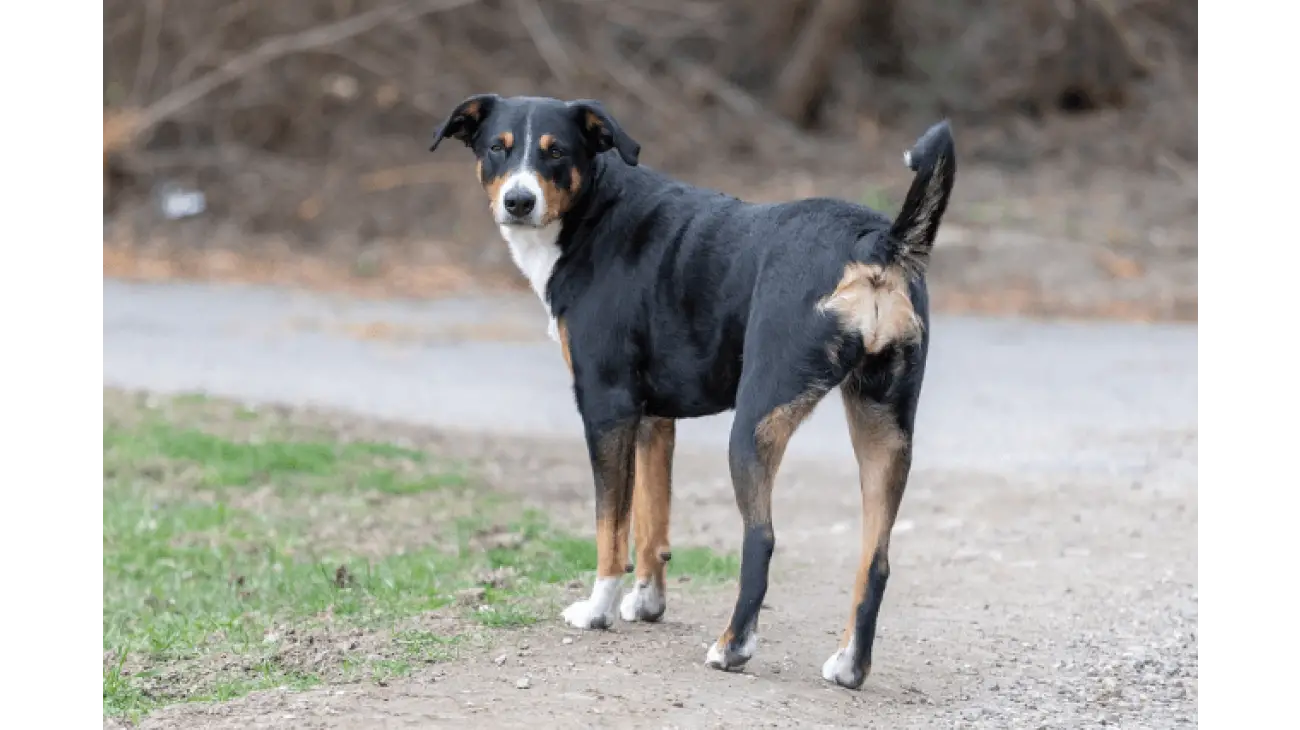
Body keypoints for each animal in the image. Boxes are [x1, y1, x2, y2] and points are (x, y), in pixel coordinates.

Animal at [426, 93, 956, 685]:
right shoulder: (652, 419)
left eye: (556, 151)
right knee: (876, 559)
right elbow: (650, 520)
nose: (519, 200)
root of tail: (877, 242)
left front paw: (598, 609)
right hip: (883, 430)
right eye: (498, 148)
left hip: (754, 425)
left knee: (761, 540)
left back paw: (732, 647)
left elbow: (611, 528)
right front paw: (647, 602)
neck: (595, 214)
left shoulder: (606, 407)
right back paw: (848, 666)